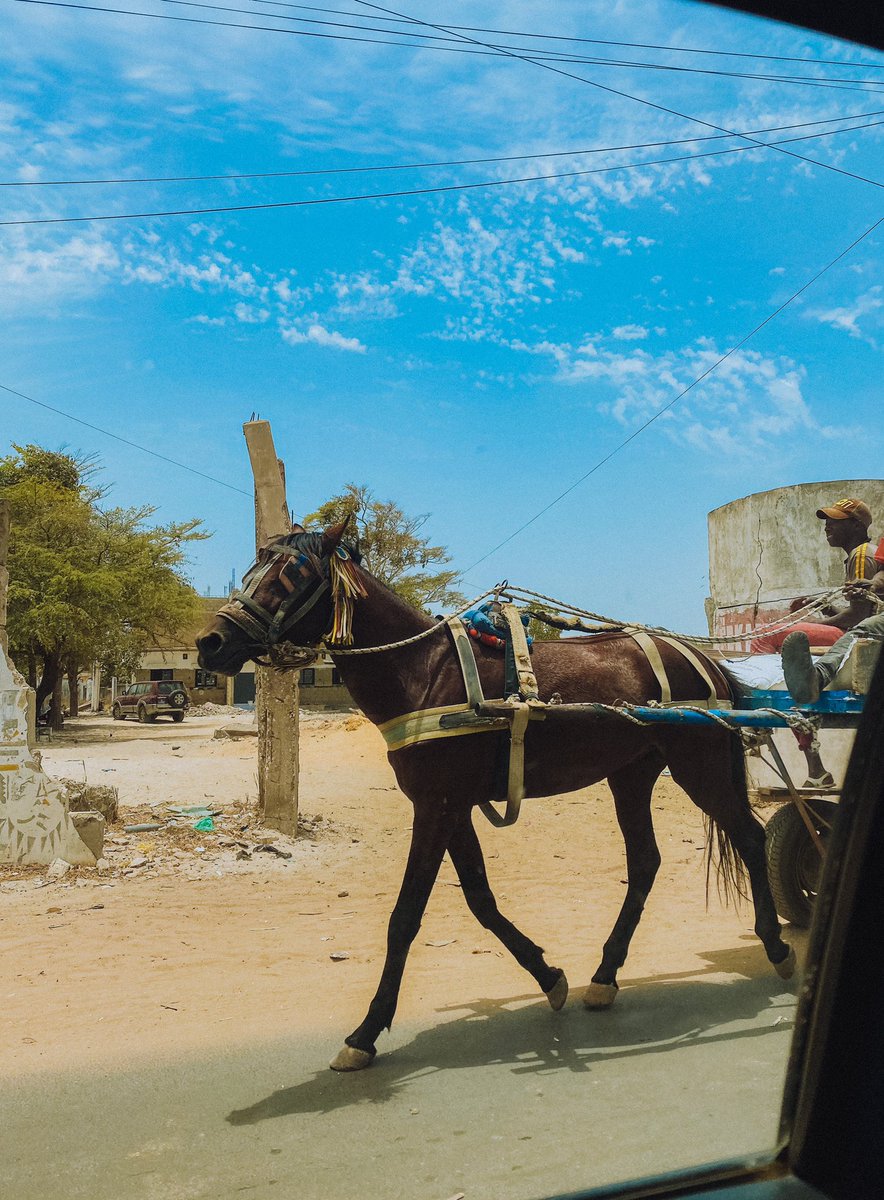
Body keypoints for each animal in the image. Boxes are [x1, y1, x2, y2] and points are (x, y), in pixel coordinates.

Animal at [197, 523, 791, 1070]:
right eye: (252, 567)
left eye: (293, 573)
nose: (211, 643)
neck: (421, 673)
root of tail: (702, 658)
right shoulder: (449, 805)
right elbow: (480, 898)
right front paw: (549, 977)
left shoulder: (436, 807)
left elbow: (405, 916)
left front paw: (366, 1032)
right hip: (632, 774)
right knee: (646, 860)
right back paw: (604, 977)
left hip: (700, 766)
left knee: (750, 837)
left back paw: (778, 948)